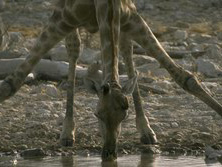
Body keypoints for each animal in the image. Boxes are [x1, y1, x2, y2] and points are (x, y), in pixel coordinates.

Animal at [0, 0, 221, 161]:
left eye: (124, 115)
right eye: (96, 114)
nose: (109, 153)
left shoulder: (131, 18)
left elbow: (185, 77)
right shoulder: (61, 18)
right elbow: (10, 85)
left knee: (126, 52)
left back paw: (146, 131)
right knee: (74, 50)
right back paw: (67, 133)